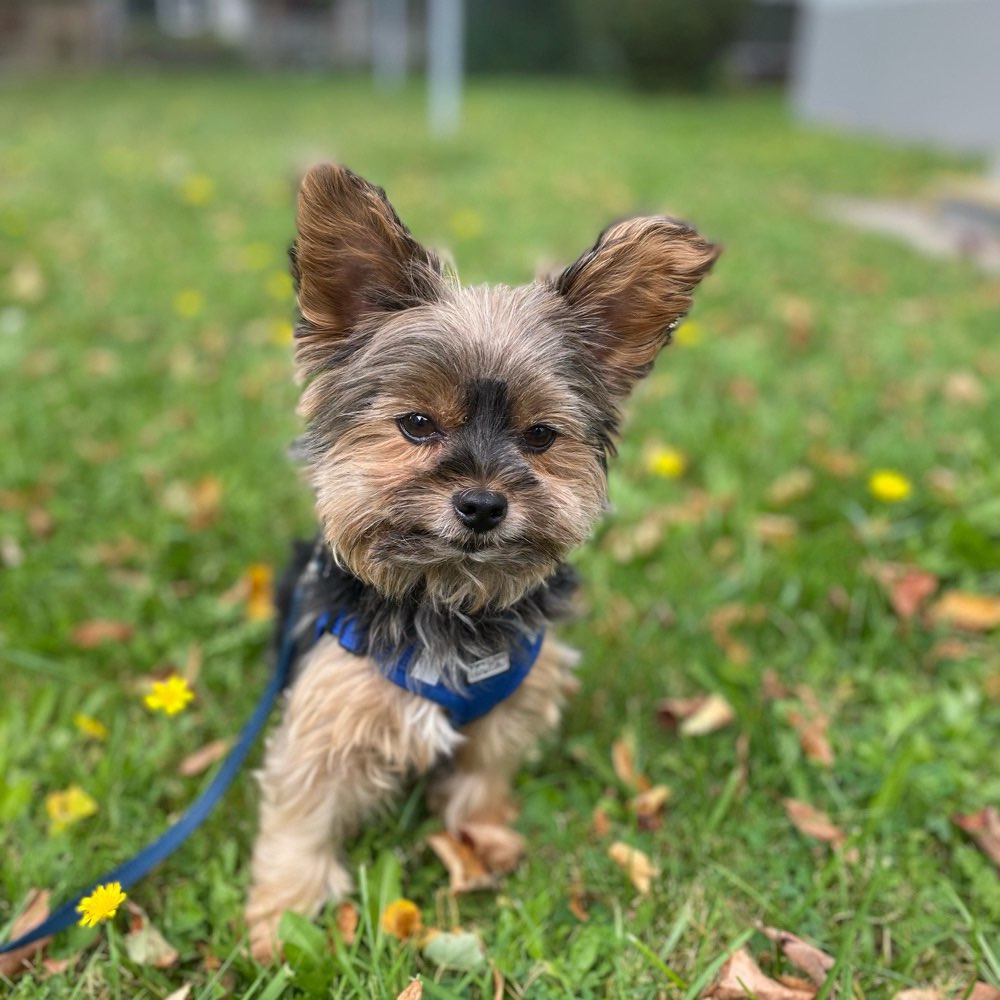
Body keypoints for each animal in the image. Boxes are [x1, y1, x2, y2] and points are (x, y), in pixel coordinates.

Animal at [244, 164, 720, 960]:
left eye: (540, 435)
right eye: (416, 424)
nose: (481, 504)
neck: (448, 599)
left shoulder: (509, 708)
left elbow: (482, 777)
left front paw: (483, 840)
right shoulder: (328, 715)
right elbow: (301, 818)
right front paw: (285, 919)